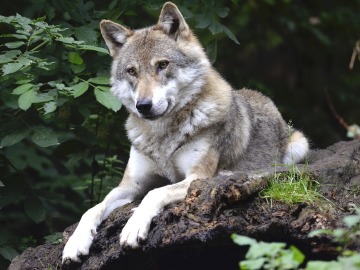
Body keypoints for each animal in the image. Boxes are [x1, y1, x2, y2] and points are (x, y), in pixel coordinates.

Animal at [61, 1, 306, 264]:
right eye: (131, 71)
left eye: (162, 65)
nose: (143, 105)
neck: (162, 137)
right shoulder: (130, 185)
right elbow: (92, 209)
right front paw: (75, 242)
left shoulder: (195, 177)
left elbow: (155, 193)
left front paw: (133, 226)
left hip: (299, 145)